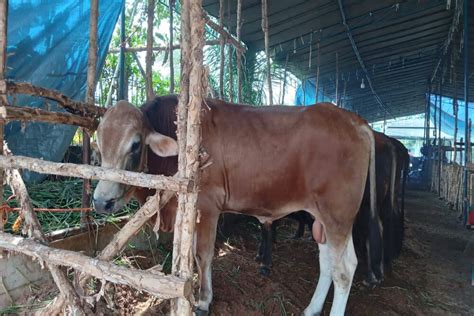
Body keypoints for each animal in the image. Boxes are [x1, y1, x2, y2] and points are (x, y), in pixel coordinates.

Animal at [94, 97, 380, 316]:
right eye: (98, 144)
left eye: (135, 144)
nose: (100, 201)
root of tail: (354, 120)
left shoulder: (208, 205)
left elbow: (203, 255)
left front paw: (203, 301)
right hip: (322, 218)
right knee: (329, 262)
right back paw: (311, 308)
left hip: (338, 216)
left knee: (344, 270)